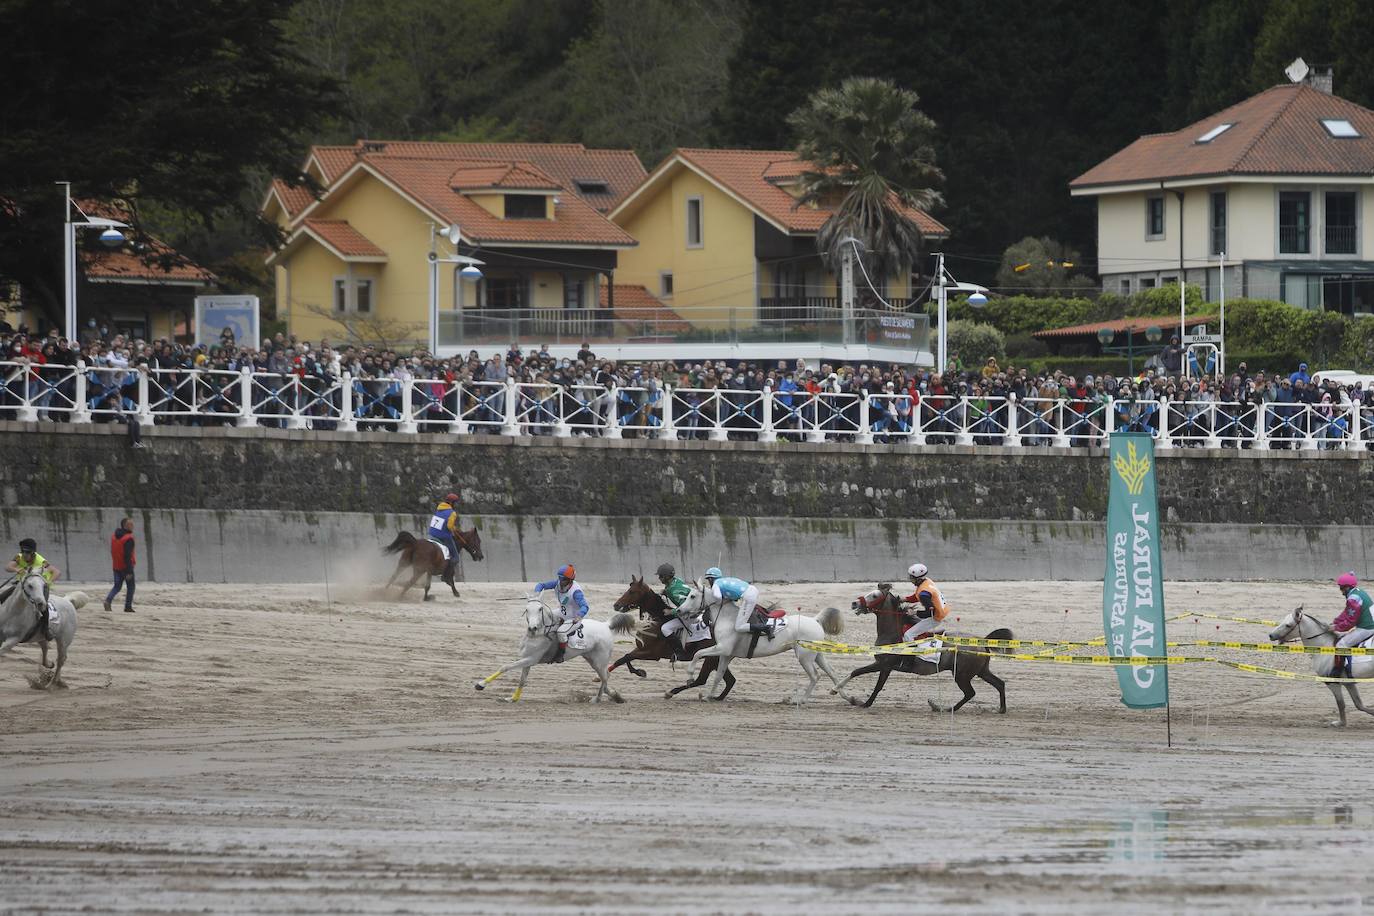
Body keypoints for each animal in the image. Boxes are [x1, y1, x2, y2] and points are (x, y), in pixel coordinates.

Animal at [475, 598, 634, 708]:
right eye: (527, 609)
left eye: (540, 609)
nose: (532, 628)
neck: (537, 634)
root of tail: (605, 625)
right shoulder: (527, 660)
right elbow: (522, 680)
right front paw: (513, 698)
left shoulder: (531, 659)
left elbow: (505, 667)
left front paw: (481, 684)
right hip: (591, 659)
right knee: (605, 678)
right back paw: (614, 695)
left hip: (599, 661)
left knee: (605, 677)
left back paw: (597, 699)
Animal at [676, 585, 846, 708]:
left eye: (692, 596)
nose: (678, 610)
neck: (727, 618)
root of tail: (815, 620)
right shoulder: (726, 654)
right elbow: (718, 675)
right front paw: (709, 696)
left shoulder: (722, 648)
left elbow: (698, 653)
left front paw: (690, 677)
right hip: (817, 655)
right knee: (831, 672)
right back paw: (845, 696)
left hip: (804, 657)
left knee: (815, 676)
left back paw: (800, 700)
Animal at [824, 585, 1011, 714]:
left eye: (875, 595)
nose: (854, 603)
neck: (892, 632)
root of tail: (982, 640)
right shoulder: (884, 665)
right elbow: (860, 674)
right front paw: (843, 693)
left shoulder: (884, 665)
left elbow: (869, 680)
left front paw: (858, 701)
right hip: (980, 671)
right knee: (999, 684)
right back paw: (1001, 709)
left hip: (961, 675)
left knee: (970, 693)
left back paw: (942, 708)